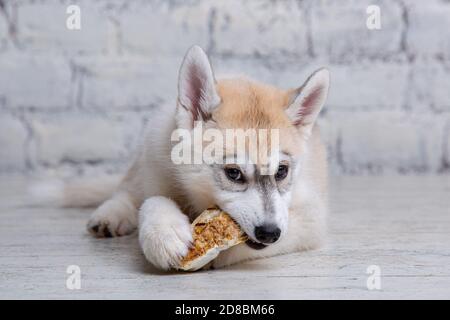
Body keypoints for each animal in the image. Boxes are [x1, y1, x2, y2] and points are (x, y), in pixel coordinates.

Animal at [54, 45, 328, 270]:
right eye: (234, 173)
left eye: (282, 171)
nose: (270, 233)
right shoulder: (158, 170)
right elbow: (152, 200)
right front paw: (164, 233)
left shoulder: (311, 218)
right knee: (128, 190)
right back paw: (111, 214)